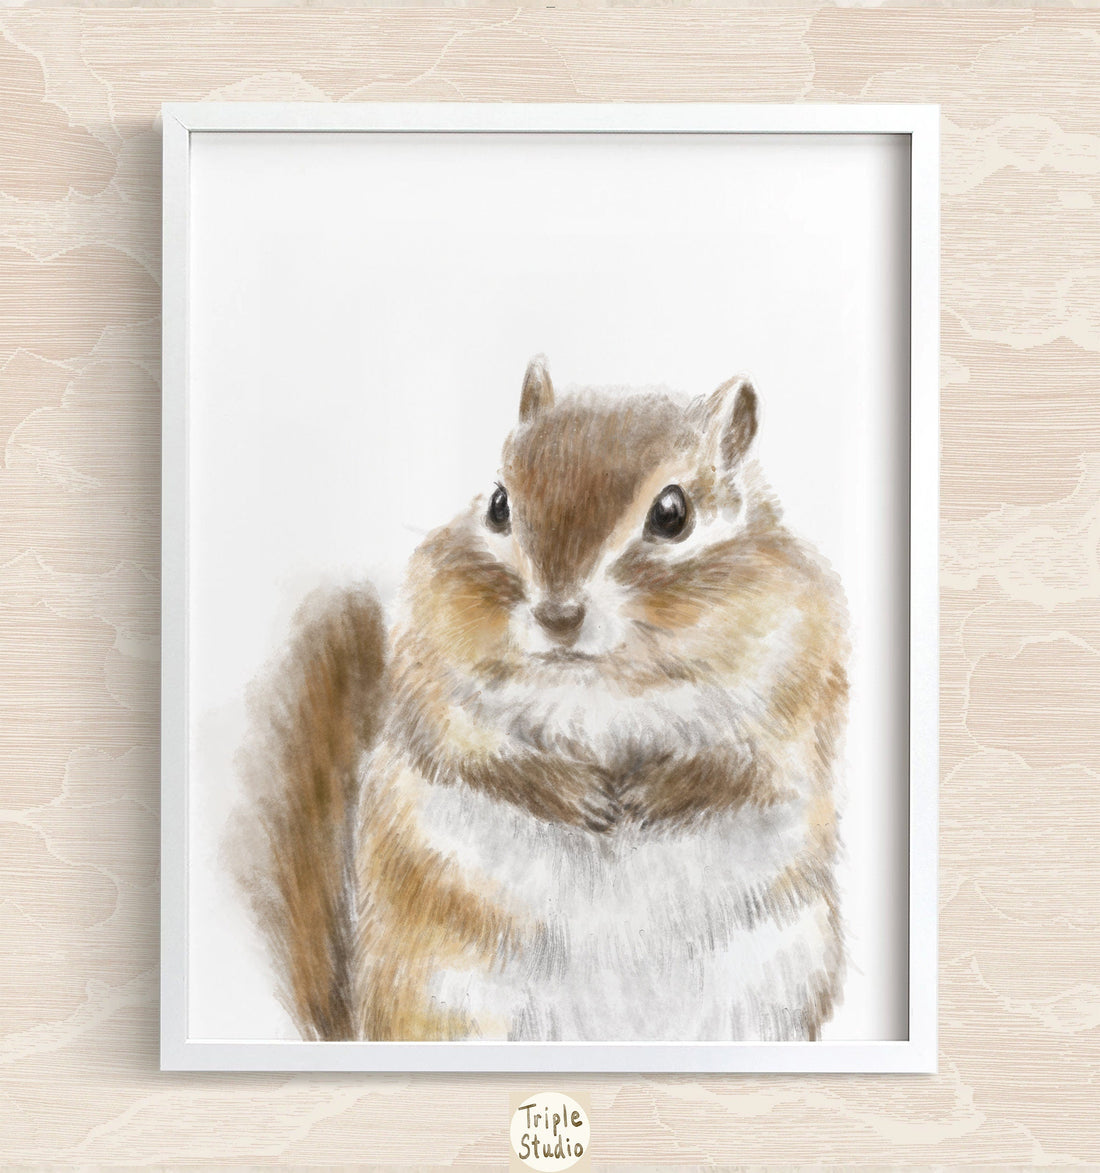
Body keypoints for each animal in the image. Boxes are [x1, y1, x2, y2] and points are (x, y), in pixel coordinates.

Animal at [237, 356, 849, 1043]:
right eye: (499, 504)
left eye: (673, 514)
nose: (558, 616)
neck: (604, 682)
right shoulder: (432, 679)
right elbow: (473, 754)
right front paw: (573, 794)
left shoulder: (796, 688)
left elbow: (749, 769)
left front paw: (655, 792)